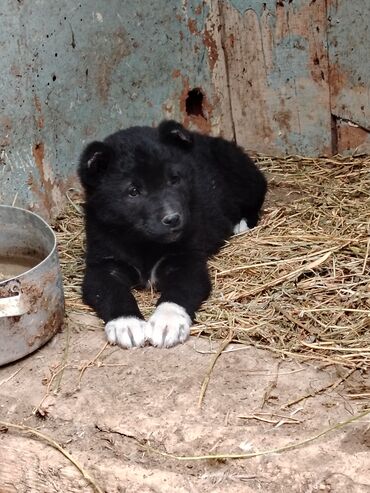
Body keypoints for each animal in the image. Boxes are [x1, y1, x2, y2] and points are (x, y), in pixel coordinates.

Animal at [79, 121, 268, 348]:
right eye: (133, 191)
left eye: (174, 180)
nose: (173, 219)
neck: (144, 244)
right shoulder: (102, 266)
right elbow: (112, 292)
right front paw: (127, 324)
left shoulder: (187, 261)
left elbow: (178, 291)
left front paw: (166, 323)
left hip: (243, 178)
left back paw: (241, 223)